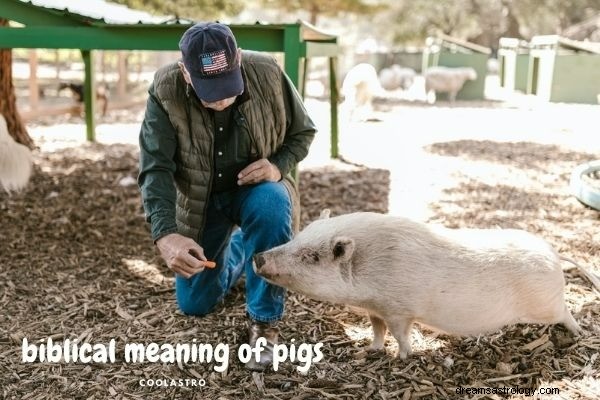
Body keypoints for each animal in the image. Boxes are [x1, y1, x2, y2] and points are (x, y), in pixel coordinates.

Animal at [254, 211, 600, 358]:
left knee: (566, 312)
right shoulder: (376, 309)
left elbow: (400, 334)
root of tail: (554, 254)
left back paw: (580, 334)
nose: (258, 256)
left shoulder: (399, 310)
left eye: (312, 256)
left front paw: (403, 357)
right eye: (298, 236)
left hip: (547, 304)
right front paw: (370, 350)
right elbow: (377, 330)